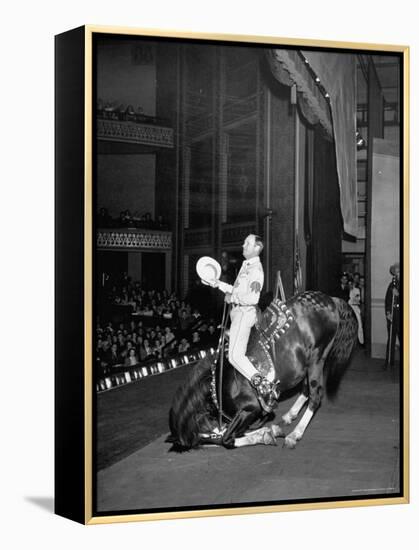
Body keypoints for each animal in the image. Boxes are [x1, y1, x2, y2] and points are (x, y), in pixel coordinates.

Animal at [167, 292, 358, 450]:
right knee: (306, 389)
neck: (220, 381)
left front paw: (267, 434)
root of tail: (331, 300)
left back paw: (294, 435)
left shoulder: (249, 409)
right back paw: (289, 416)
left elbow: (227, 438)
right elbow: (235, 433)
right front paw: (270, 431)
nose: (204, 441)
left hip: (317, 358)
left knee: (316, 394)